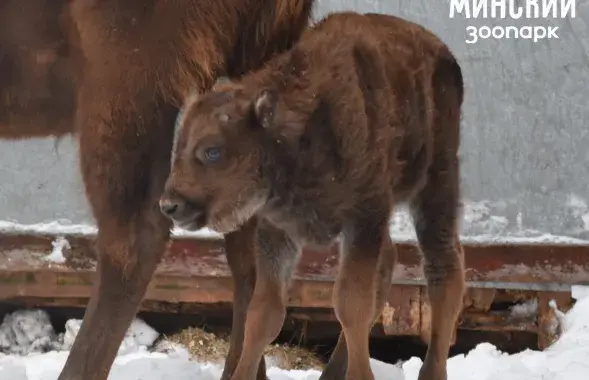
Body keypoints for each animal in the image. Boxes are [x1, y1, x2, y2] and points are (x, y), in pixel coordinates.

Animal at [162, 10, 464, 380]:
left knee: (444, 270)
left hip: (436, 187)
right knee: (392, 260)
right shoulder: (278, 231)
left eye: (213, 151)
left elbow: (350, 304)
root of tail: (443, 54)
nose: (170, 204)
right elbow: (263, 314)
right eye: (178, 146)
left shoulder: (363, 219)